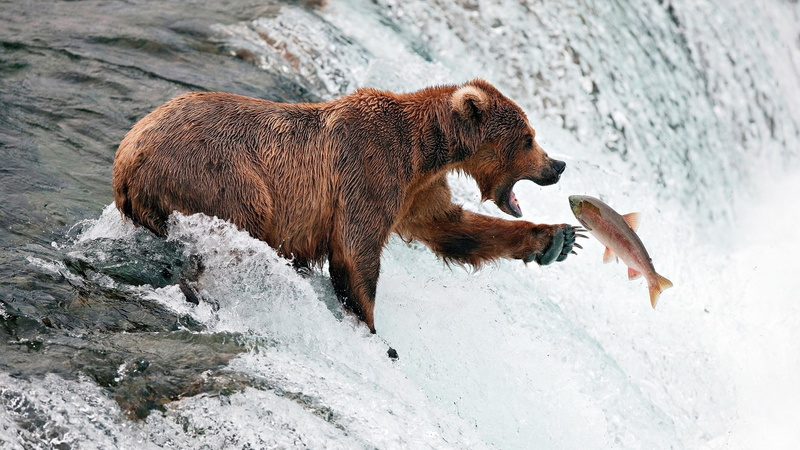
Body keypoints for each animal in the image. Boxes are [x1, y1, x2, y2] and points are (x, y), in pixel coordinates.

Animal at [112, 79, 580, 336]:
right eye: (528, 138)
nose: (557, 165)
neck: (427, 150)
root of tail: (127, 157)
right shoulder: (370, 170)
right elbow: (356, 253)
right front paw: (371, 329)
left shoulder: (417, 191)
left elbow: (452, 228)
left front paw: (558, 239)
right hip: (221, 175)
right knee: (238, 227)